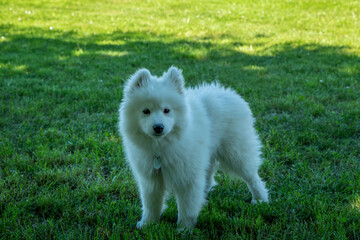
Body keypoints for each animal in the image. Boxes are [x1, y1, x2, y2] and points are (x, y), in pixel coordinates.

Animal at [119, 66, 268, 230]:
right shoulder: (150, 179)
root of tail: (229, 92)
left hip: (236, 152)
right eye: (146, 111)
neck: (160, 148)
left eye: (166, 110)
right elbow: (151, 204)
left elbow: (187, 206)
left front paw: (184, 228)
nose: (158, 127)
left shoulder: (187, 176)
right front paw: (147, 223)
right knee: (209, 174)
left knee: (252, 177)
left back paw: (260, 199)